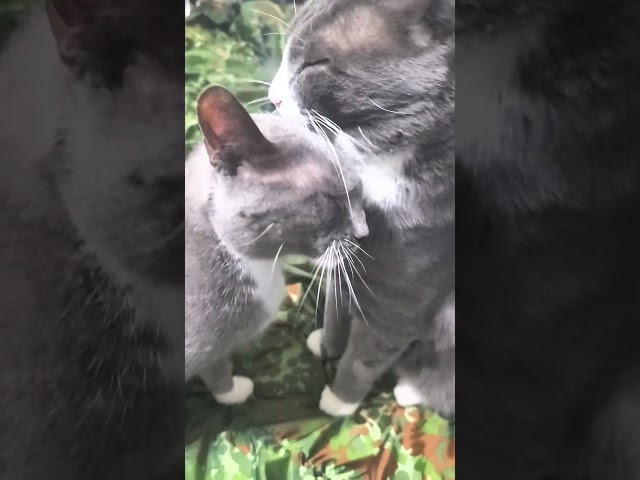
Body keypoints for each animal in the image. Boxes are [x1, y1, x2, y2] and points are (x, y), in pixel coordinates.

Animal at [268, 0, 456, 418]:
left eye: (315, 63)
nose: (272, 97)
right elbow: (336, 306)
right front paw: (325, 344)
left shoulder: (400, 298)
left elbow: (368, 353)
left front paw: (338, 399)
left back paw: (409, 390)